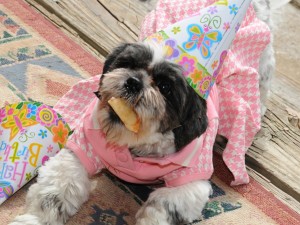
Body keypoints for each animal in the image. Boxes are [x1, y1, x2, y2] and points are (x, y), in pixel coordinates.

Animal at [10, 0, 274, 225]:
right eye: (128, 64)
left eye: (165, 87)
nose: (134, 82)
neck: (135, 145)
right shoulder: (81, 147)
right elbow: (55, 190)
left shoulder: (189, 184)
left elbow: (163, 207)